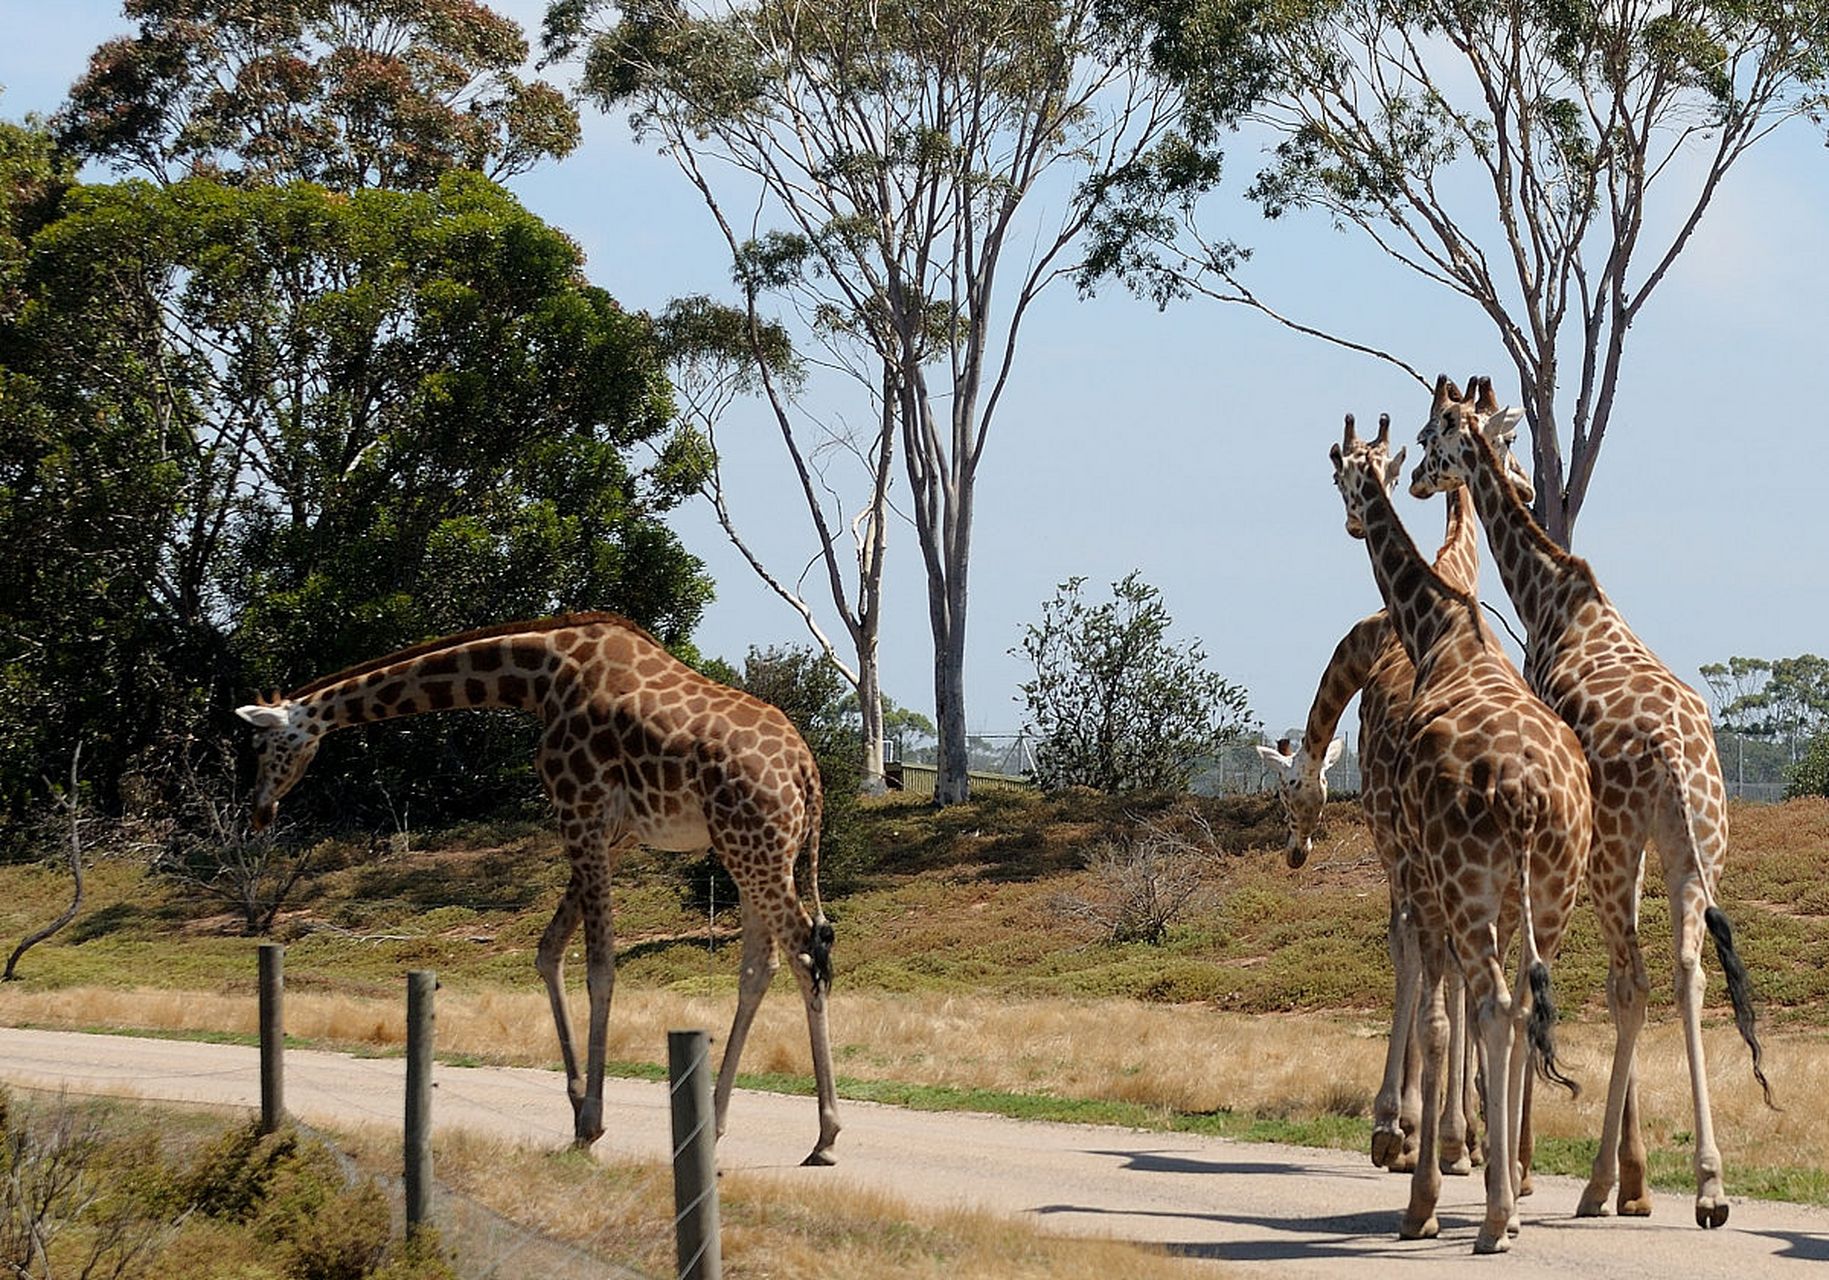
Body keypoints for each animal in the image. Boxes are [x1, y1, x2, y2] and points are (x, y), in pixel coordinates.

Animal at [230, 614, 848, 1162]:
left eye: (261, 747)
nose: (259, 811)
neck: (540, 678)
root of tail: (808, 774)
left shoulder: (580, 812)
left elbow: (598, 965)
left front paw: (592, 1120)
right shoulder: (613, 832)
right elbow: (549, 949)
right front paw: (576, 1107)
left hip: (754, 850)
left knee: (803, 950)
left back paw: (825, 1136)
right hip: (751, 851)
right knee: (762, 966)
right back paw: (716, 1124)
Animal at [1331, 415, 1587, 1258]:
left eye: (1341, 472)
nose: (1358, 517)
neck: (1443, 631)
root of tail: (1527, 798)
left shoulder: (1420, 862)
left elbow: (1436, 1006)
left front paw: (1424, 1176)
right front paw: (1463, 1150)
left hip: (1467, 882)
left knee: (1489, 1002)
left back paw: (1484, 1212)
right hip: (1551, 892)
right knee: (1521, 1006)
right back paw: (1508, 1191)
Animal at [1404, 373, 1777, 1228]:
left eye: (1433, 434)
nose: (1412, 479)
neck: (1547, 596)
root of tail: (1674, 754)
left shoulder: (1580, 839)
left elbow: (1548, 975)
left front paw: (1541, 1169)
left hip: (1616, 848)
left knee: (1630, 979)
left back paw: (1599, 1181)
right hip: (1694, 844)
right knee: (1683, 970)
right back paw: (1707, 1185)